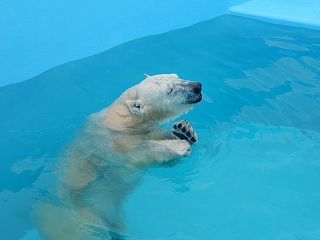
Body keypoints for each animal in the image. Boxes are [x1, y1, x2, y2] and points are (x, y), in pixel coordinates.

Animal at [32, 73, 202, 240]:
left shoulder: (147, 130)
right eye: (169, 90)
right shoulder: (111, 143)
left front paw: (184, 131)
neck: (124, 119)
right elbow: (135, 154)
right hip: (71, 218)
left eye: (176, 76)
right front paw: (178, 145)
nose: (197, 86)